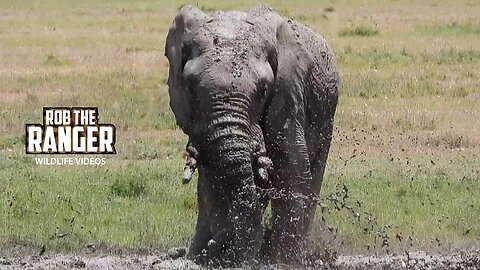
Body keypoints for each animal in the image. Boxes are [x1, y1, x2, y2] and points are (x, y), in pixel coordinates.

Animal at [165, 4, 342, 268]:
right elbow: (214, 178)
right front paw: (218, 257)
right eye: (192, 88)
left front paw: (282, 261)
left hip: (327, 113)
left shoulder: (288, 93)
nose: (213, 246)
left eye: (263, 90)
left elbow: (292, 168)